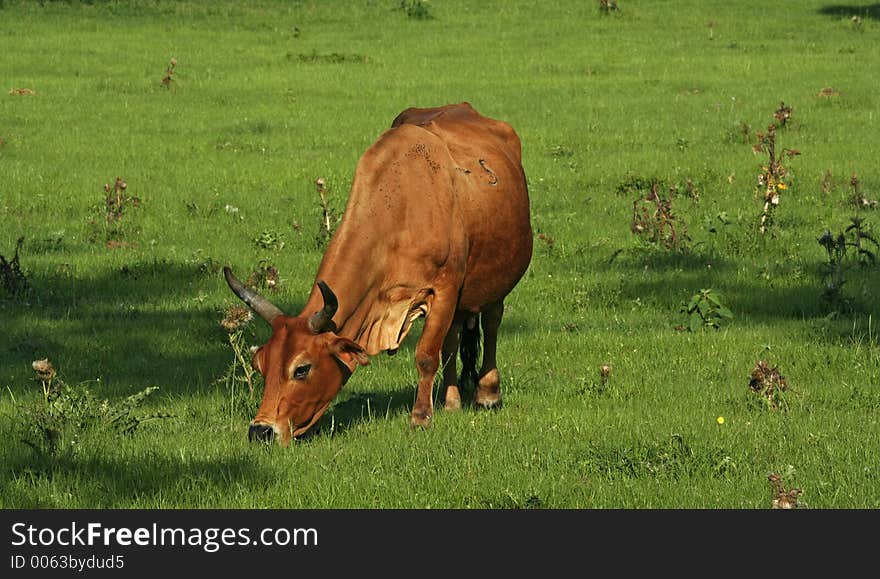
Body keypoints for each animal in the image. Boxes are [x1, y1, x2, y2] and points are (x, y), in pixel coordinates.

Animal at [223, 102, 532, 446]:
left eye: (302, 369)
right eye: (260, 365)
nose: (260, 431)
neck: (401, 210)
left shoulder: (444, 289)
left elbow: (426, 355)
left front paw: (421, 417)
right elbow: (442, 347)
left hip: (497, 280)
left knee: (491, 324)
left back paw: (488, 393)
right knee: (452, 341)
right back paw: (451, 399)